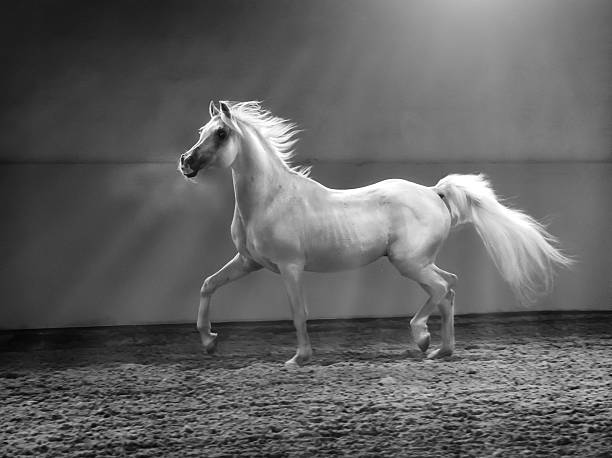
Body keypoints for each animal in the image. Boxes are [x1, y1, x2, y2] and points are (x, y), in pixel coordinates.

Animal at [178, 102, 572, 366]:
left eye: (222, 133)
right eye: (201, 131)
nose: (185, 162)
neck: (271, 198)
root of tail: (435, 193)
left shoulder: (290, 267)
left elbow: (298, 312)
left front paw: (299, 358)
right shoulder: (249, 261)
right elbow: (208, 285)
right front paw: (209, 342)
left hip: (408, 262)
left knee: (441, 288)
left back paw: (423, 338)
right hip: (420, 261)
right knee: (449, 285)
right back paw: (440, 349)